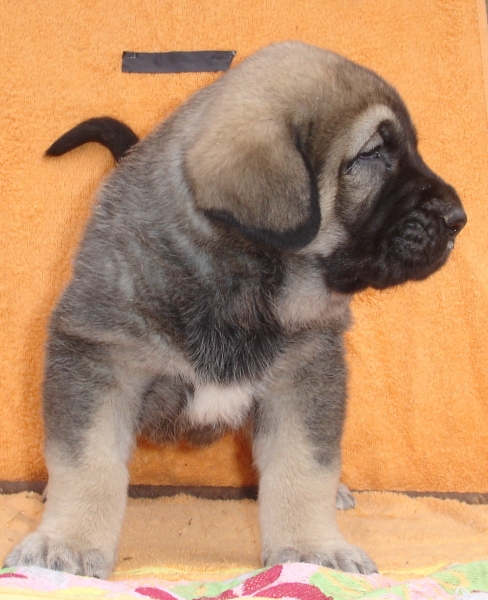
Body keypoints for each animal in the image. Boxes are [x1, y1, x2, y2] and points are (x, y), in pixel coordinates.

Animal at [4, 41, 468, 576]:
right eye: (373, 153)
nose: (459, 219)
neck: (242, 283)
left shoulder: (304, 374)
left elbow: (304, 466)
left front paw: (312, 548)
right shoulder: (98, 358)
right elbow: (88, 464)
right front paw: (68, 545)